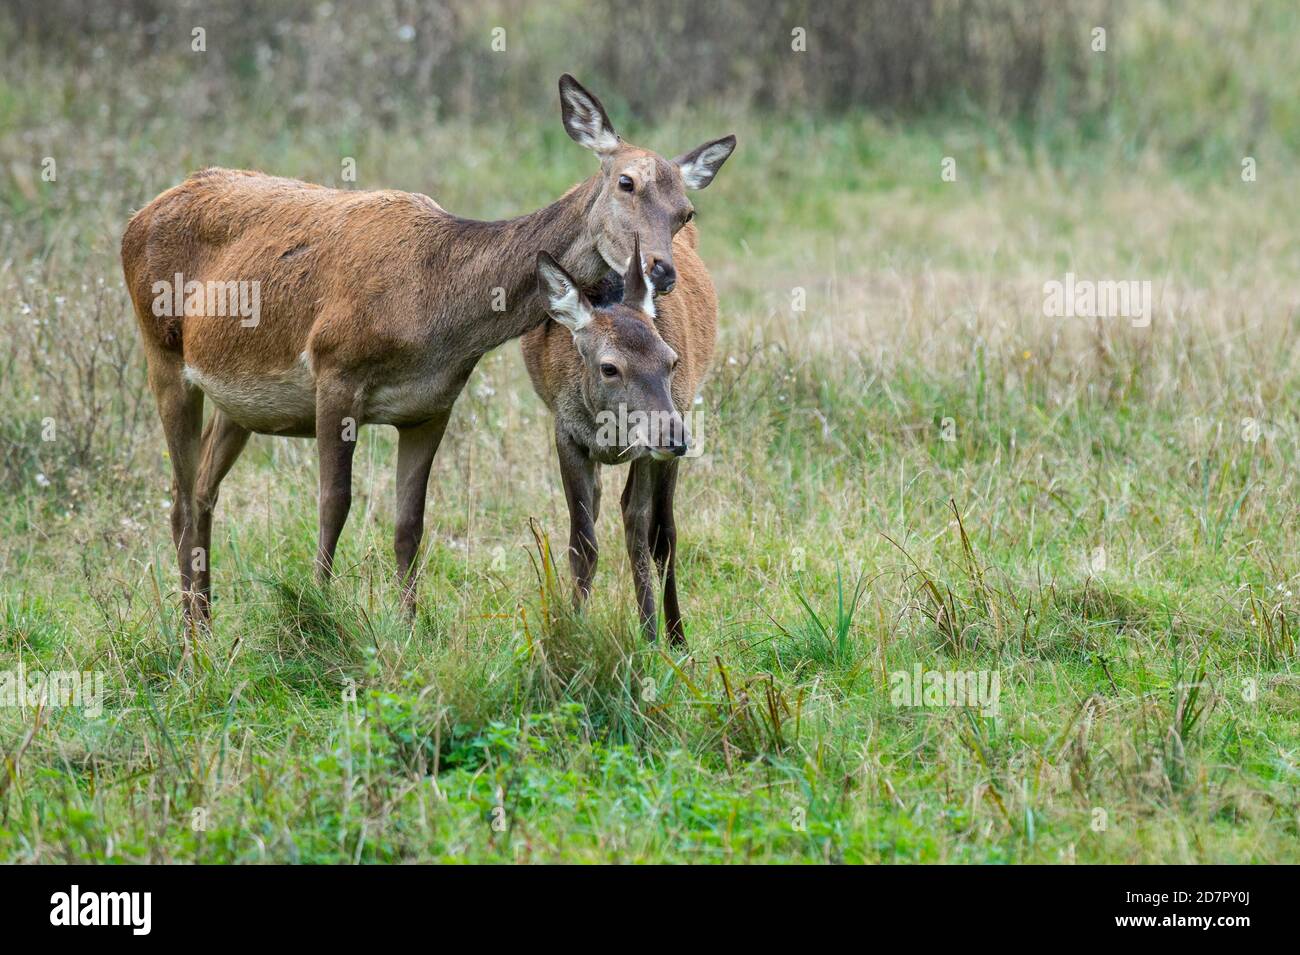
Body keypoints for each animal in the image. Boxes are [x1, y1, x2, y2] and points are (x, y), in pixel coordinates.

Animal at [520, 231, 722, 647]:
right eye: (609, 367)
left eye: (671, 360)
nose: (675, 439)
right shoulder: (566, 434)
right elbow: (583, 542)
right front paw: (573, 627)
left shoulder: (648, 451)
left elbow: (639, 532)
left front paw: (650, 636)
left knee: (665, 534)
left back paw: (677, 635)